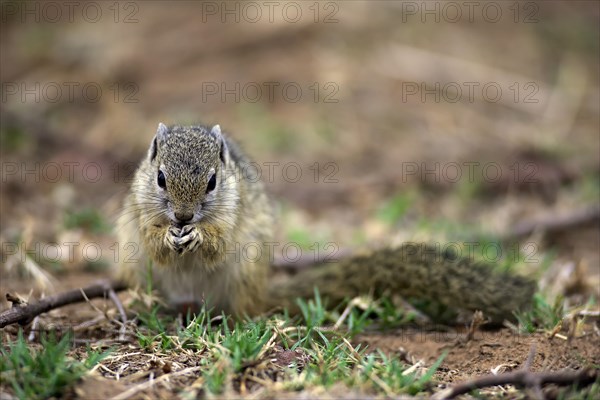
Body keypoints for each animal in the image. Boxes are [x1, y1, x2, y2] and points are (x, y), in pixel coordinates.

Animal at [115, 122, 536, 324]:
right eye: (160, 178)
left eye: (214, 182)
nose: (184, 216)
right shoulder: (138, 212)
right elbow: (153, 240)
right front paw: (167, 236)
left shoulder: (234, 215)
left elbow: (217, 243)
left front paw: (199, 236)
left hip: (244, 269)